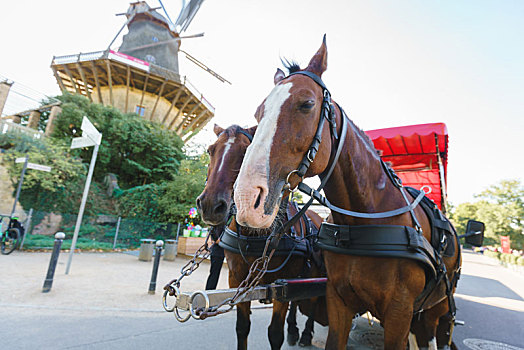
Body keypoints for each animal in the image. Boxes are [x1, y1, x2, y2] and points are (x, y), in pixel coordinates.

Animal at [196, 125, 328, 350]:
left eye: (246, 152)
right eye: (210, 150)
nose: (211, 205)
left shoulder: (283, 285)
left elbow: (275, 333)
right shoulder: (237, 279)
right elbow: (242, 328)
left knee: (313, 302)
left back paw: (305, 334)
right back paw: (293, 329)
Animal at [235, 37, 460, 348]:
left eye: (306, 104)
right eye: (259, 112)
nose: (246, 198)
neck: (364, 223)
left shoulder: (399, 314)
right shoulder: (338, 301)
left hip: (442, 313)